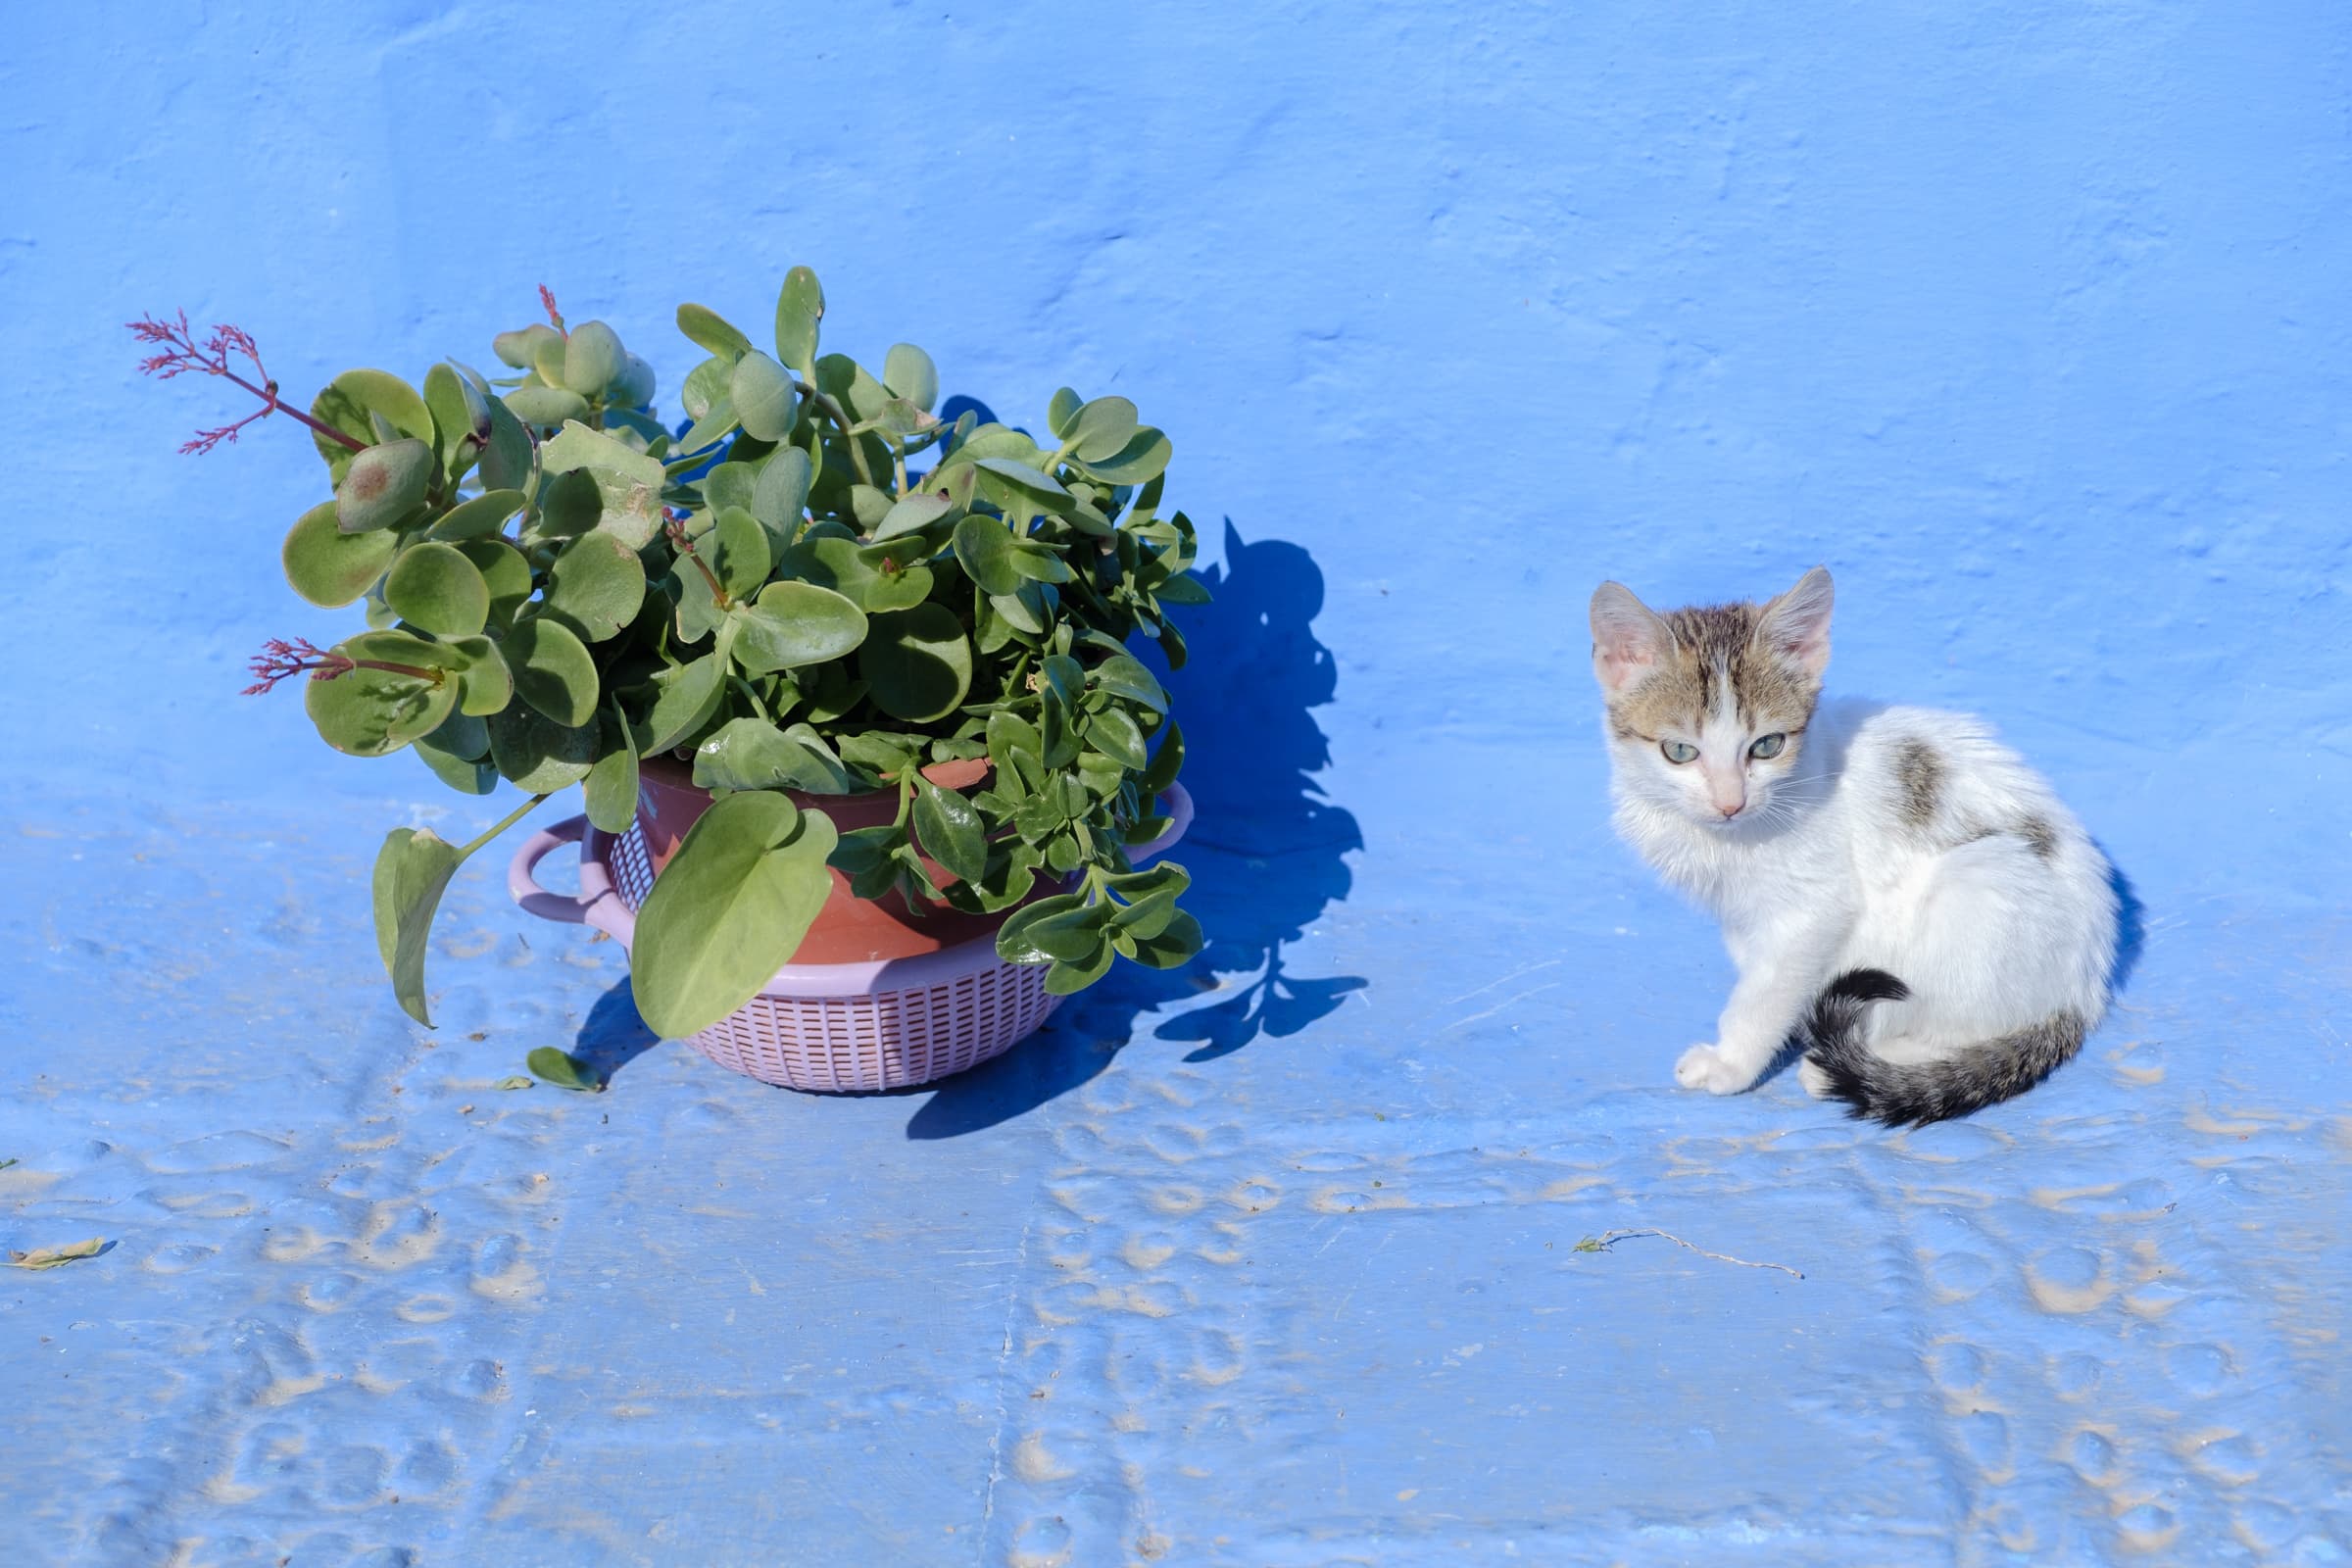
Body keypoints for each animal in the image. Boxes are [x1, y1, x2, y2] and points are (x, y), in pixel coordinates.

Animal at [1590, 570, 2126, 1123]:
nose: (1730, 802)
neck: (1727, 839)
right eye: (1679, 751)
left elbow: (1766, 991)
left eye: (1767, 746)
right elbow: (1763, 971)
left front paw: (1731, 1063)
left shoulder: (1814, 910)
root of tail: (2085, 991)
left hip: (1981, 880)